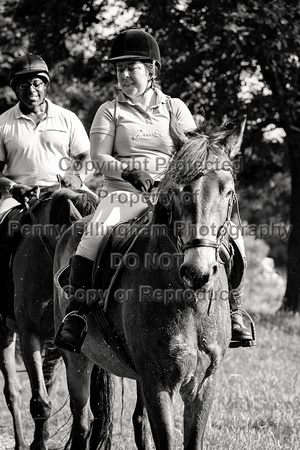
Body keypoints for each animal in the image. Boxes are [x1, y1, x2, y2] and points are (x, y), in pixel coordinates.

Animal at [0, 187, 102, 450]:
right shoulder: (30, 336)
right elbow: (40, 401)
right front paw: (38, 444)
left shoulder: (59, 344)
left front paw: (41, 439)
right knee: (13, 392)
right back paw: (20, 443)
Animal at [55, 114, 247, 448]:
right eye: (178, 190)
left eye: (227, 190)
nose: (197, 272)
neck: (189, 303)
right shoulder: (158, 383)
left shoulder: (203, 384)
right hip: (76, 359)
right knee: (82, 424)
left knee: (138, 422)